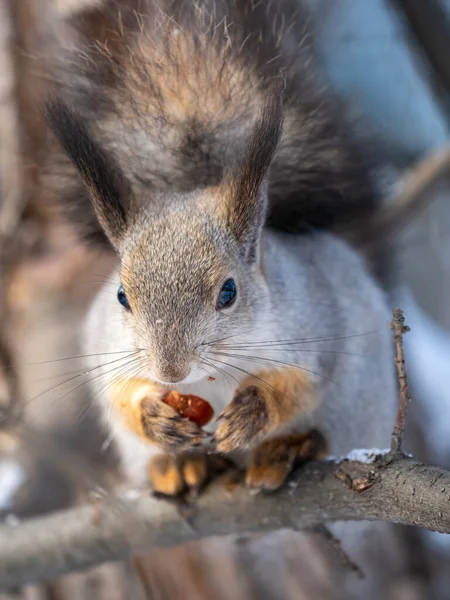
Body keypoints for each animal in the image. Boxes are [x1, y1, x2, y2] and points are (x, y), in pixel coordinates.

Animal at [44, 1, 398, 492]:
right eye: (121, 296)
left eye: (229, 293)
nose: (170, 372)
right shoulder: (107, 345)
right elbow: (119, 395)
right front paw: (153, 416)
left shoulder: (313, 324)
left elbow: (298, 385)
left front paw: (254, 412)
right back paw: (180, 465)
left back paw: (287, 449)